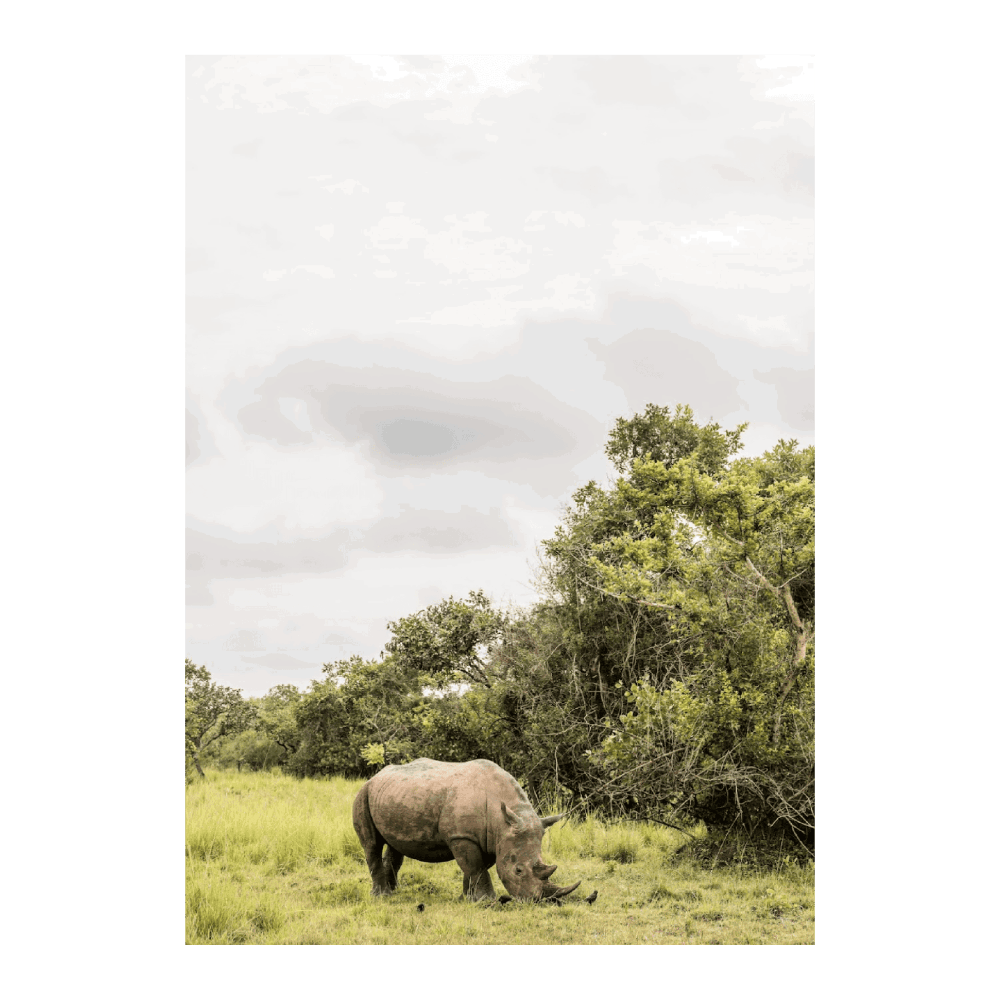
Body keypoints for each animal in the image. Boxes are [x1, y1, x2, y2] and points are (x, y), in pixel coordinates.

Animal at [352, 758, 582, 902]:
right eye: (518, 870)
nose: (536, 901)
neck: (502, 819)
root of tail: (376, 776)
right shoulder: (462, 836)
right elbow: (476, 867)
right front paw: (487, 901)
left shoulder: (491, 838)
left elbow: (475, 868)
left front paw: (467, 898)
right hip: (363, 793)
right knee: (371, 844)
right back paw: (381, 896)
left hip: (394, 795)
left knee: (395, 846)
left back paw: (394, 892)